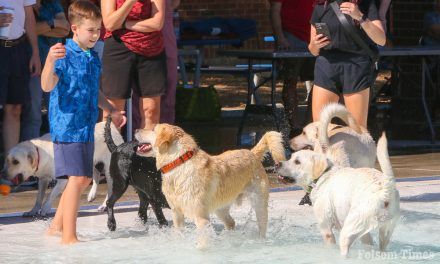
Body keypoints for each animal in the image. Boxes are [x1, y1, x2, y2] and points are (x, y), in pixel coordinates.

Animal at [134, 124, 286, 248]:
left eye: (153, 129)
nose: (135, 129)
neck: (179, 162)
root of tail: (251, 153)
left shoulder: (201, 218)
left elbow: (202, 243)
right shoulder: (177, 214)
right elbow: (179, 234)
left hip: (259, 204)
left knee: (261, 226)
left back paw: (260, 241)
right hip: (220, 209)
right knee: (231, 223)